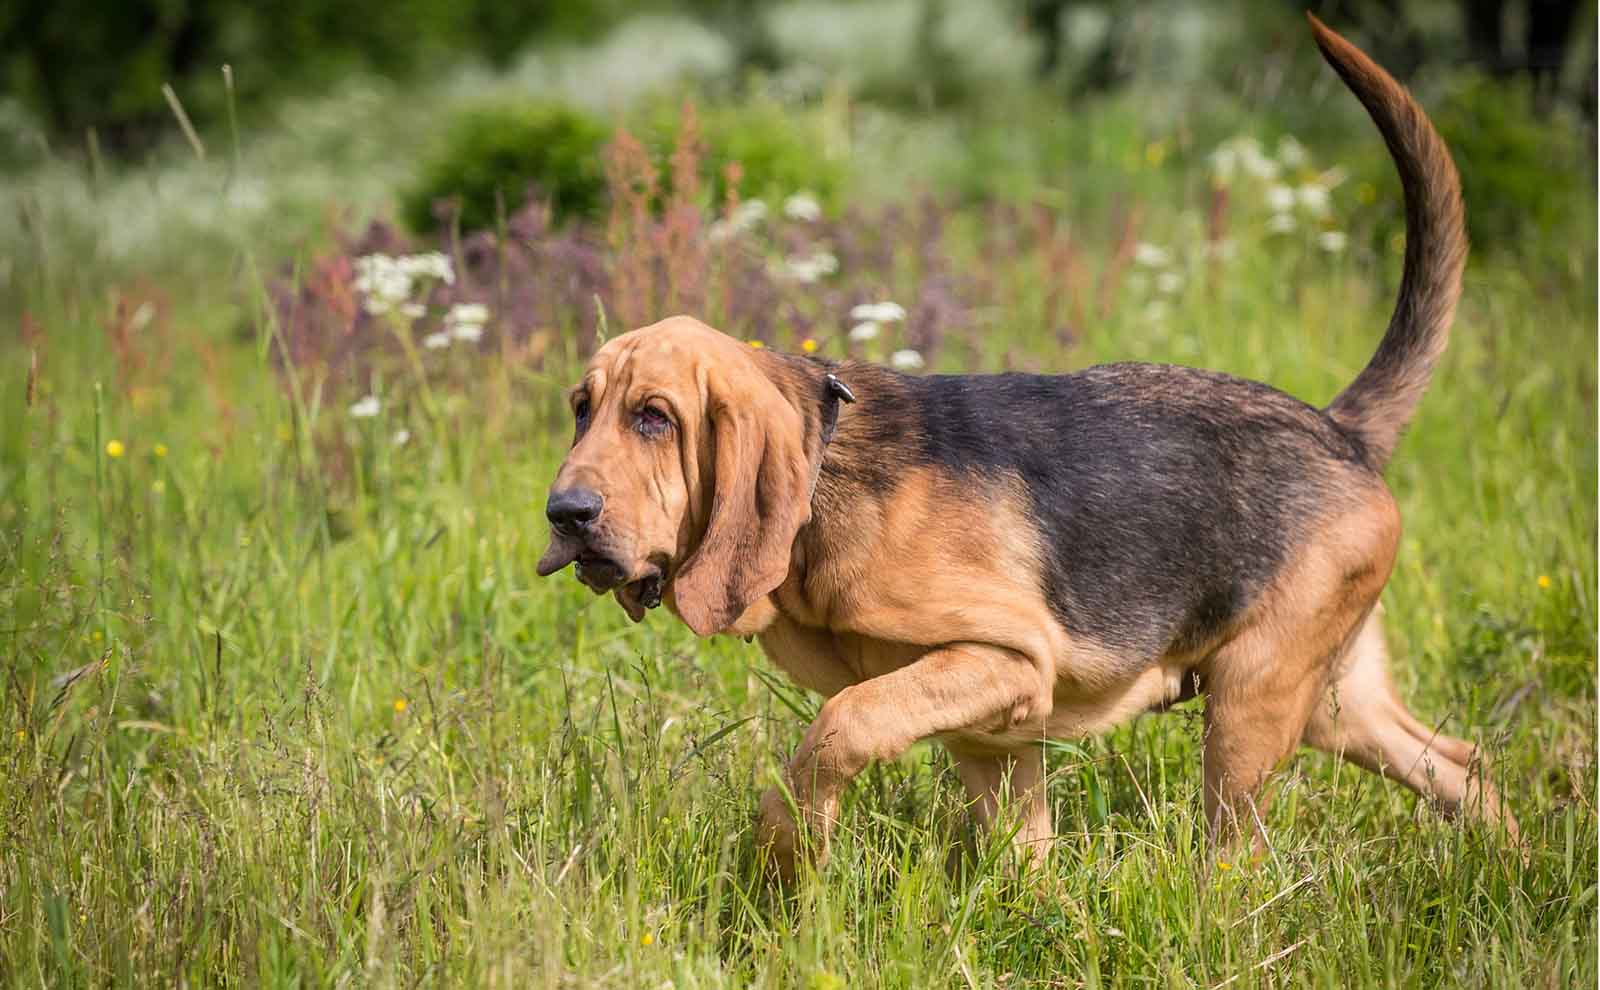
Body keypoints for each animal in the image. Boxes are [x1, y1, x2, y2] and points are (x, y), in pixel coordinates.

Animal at [534, 15, 1510, 876]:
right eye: (582, 408)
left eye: (655, 417)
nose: (565, 514)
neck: (826, 485)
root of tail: (1342, 427)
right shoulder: (994, 736)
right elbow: (1024, 862)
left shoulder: (1001, 660)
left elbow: (836, 728)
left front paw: (789, 854)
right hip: (1336, 706)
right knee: (1465, 770)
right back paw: (1518, 871)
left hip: (1251, 705)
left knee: (1239, 855)